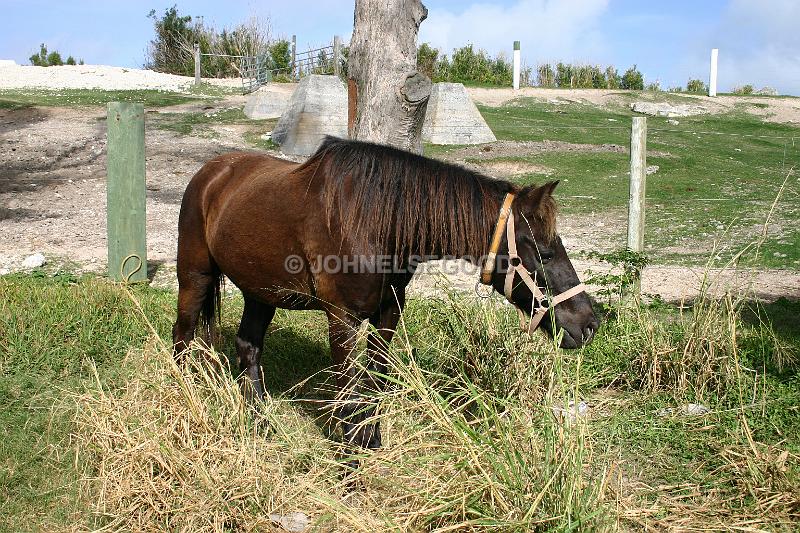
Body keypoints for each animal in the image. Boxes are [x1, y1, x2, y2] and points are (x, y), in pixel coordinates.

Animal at [175, 136, 600, 454]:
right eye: (544, 252)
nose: (589, 323)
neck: (375, 221)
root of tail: (212, 172)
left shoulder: (389, 312)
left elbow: (376, 383)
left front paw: (372, 441)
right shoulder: (342, 318)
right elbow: (349, 393)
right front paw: (350, 464)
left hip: (260, 293)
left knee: (248, 348)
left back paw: (260, 422)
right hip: (194, 277)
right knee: (183, 336)